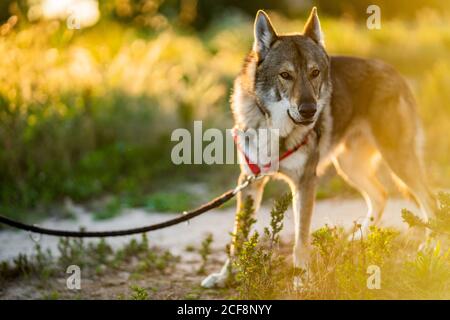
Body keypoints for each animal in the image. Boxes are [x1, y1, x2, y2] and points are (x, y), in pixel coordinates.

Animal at [200, 7, 436, 288]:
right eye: (286, 75)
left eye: (314, 73)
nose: (309, 110)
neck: (275, 129)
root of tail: (393, 71)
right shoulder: (249, 181)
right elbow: (238, 239)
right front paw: (225, 276)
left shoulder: (305, 182)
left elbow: (301, 242)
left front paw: (301, 281)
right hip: (349, 166)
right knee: (381, 196)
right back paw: (357, 241)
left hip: (397, 160)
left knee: (431, 201)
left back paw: (432, 249)